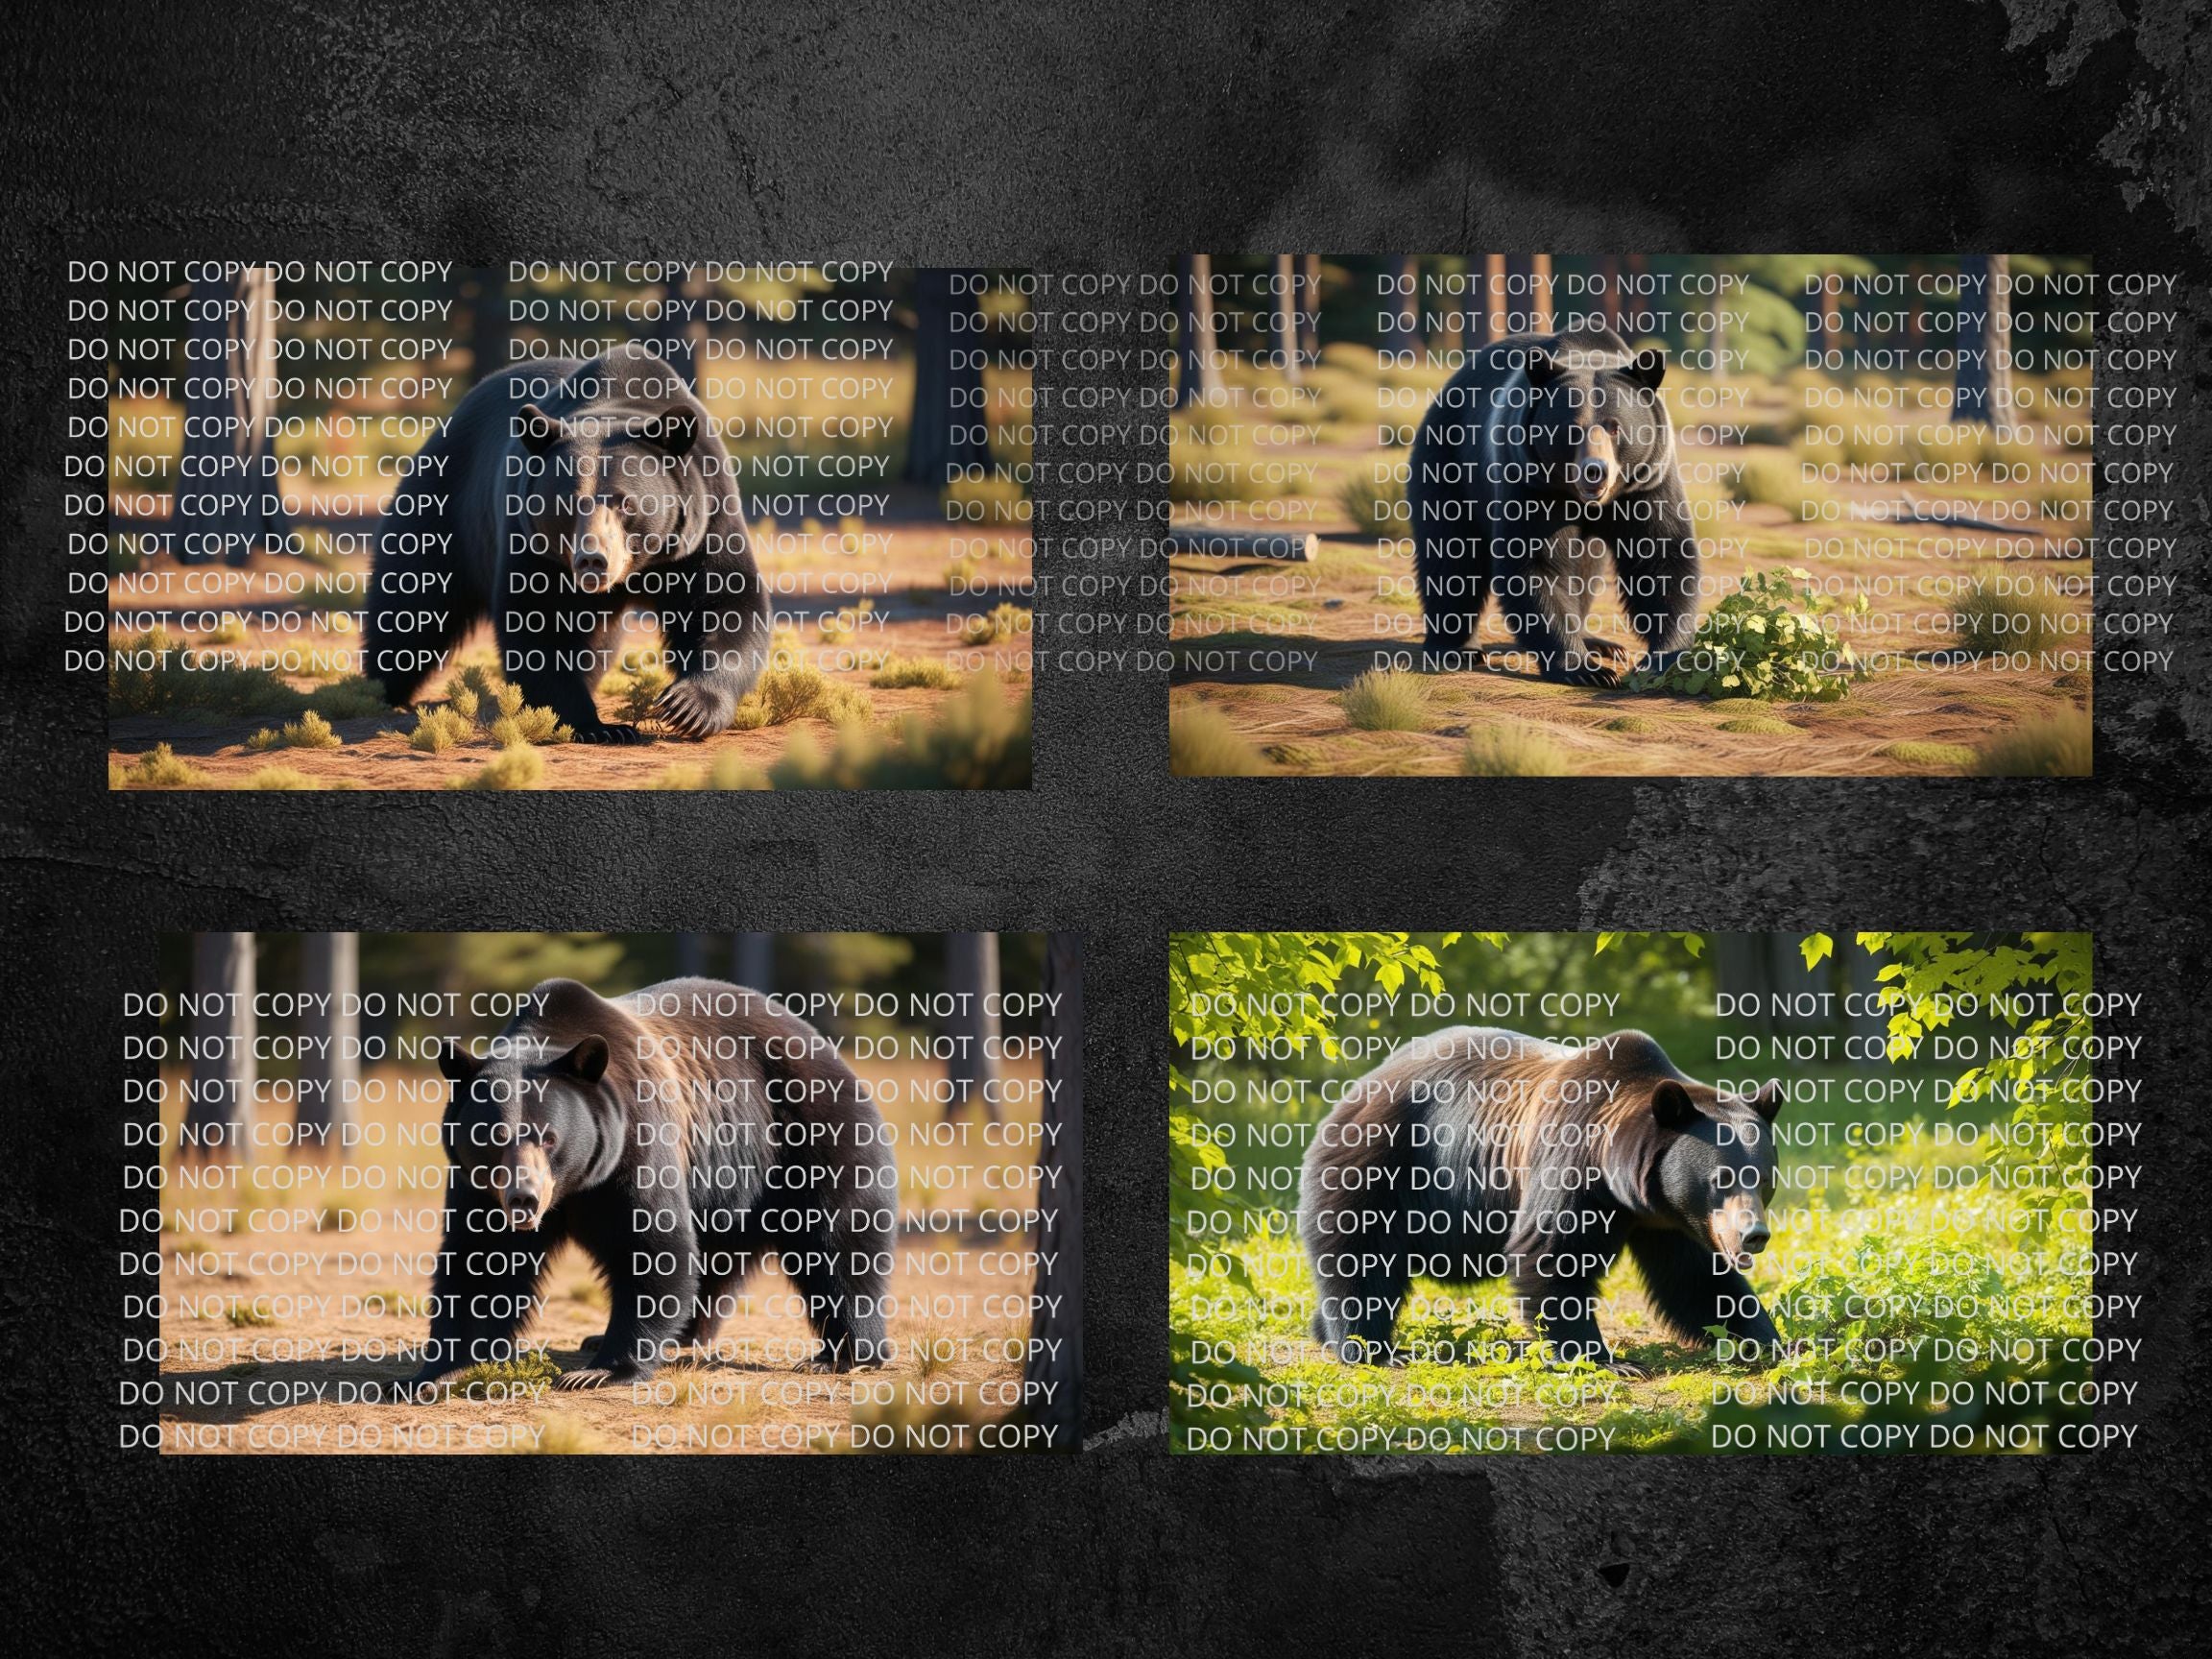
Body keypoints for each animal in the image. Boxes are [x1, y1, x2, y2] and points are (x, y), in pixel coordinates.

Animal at [362, 343, 774, 743]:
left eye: (626, 503)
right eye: (568, 502)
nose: (593, 560)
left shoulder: (702, 524)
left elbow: (727, 602)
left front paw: (688, 706)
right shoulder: (533, 544)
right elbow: (536, 621)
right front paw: (600, 726)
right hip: (444, 504)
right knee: (411, 602)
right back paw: (381, 689)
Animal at [398, 975, 894, 1398]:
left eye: (549, 1137)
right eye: (493, 1136)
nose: (525, 1199)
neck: (575, 1185)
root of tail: (818, 1038)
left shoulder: (636, 1142)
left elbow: (653, 1244)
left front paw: (598, 1370)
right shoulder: (478, 1186)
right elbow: (479, 1263)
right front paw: (431, 1375)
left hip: (805, 1133)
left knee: (839, 1241)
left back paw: (843, 1354)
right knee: (716, 1259)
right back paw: (681, 1335)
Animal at [1298, 1026, 1783, 1373]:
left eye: (1763, 1179)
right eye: (1721, 1177)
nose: (1754, 1235)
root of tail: (1356, 1088)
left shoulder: (1667, 1217)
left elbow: (1696, 1278)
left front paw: (1770, 1340)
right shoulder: (1571, 1157)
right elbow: (1552, 1252)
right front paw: (1607, 1359)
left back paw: (1326, 1333)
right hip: (1381, 1162)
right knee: (1360, 1255)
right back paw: (1371, 1348)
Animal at [1405, 327, 1701, 687]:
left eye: (1614, 426)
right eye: (1572, 428)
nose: (1595, 470)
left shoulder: (1647, 482)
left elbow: (1661, 556)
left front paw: (1663, 657)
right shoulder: (1532, 483)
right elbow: (1535, 563)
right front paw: (1587, 670)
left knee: (1587, 567)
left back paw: (1600, 642)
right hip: (1448, 461)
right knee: (1450, 555)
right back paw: (1456, 647)